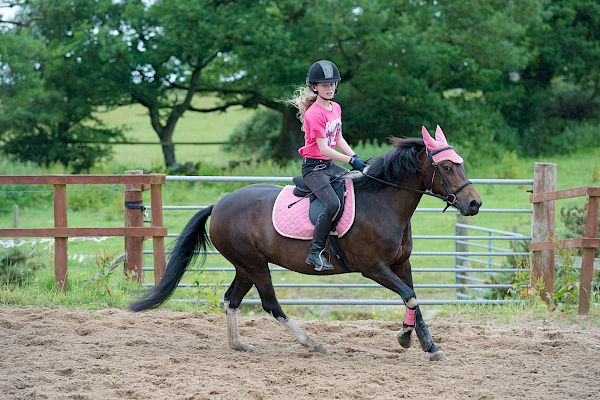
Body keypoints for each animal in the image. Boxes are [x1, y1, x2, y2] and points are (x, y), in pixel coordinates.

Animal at [131, 126, 482, 362]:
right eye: (447, 167)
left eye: (461, 163)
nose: (475, 204)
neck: (383, 202)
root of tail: (218, 205)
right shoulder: (374, 268)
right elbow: (409, 296)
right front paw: (405, 339)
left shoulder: (400, 263)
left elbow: (415, 300)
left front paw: (431, 347)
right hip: (255, 266)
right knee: (271, 305)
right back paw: (312, 343)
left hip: (246, 266)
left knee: (231, 299)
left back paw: (238, 344)